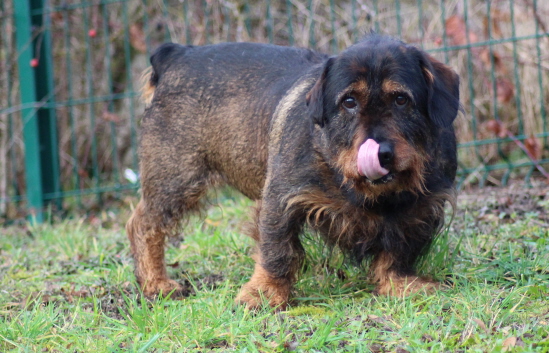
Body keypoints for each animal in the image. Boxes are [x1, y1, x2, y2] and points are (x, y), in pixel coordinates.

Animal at [126, 34, 460, 306]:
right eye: (349, 101)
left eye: (401, 99)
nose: (381, 153)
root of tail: (177, 54)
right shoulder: (281, 198)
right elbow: (276, 251)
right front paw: (265, 292)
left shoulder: (421, 209)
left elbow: (398, 252)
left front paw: (399, 283)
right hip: (176, 179)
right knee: (143, 225)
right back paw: (156, 283)